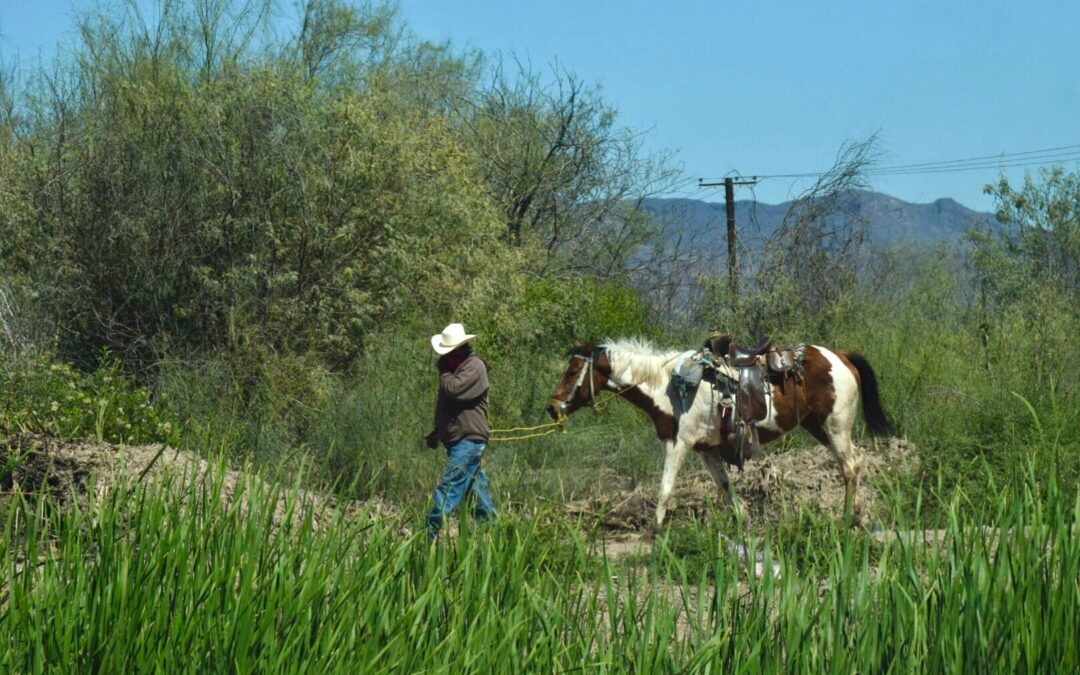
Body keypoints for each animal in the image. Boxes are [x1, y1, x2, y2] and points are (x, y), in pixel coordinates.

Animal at [544, 336, 889, 527]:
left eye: (572, 371)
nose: (552, 407)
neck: (668, 386)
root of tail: (841, 356)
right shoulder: (706, 449)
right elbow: (726, 487)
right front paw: (743, 522)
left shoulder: (678, 443)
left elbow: (665, 488)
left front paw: (655, 533)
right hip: (819, 426)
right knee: (852, 464)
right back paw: (857, 515)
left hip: (835, 426)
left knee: (851, 466)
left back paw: (849, 518)